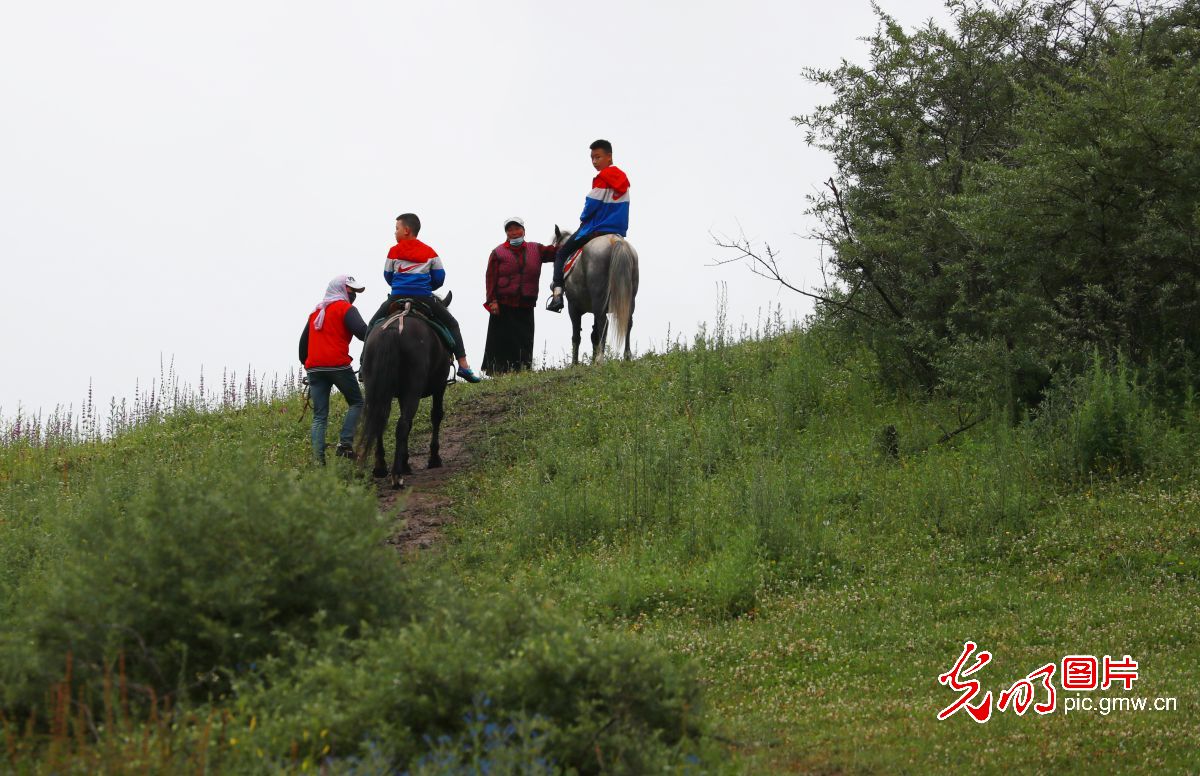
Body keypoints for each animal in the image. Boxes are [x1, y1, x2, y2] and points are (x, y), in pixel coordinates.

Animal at [554, 224, 643, 364]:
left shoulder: (573, 307)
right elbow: (594, 335)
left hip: (598, 299)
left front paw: (574, 363)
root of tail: (615, 241)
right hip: (627, 299)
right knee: (628, 323)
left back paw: (599, 359)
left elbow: (576, 336)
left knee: (604, 323)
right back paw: (627, 356)